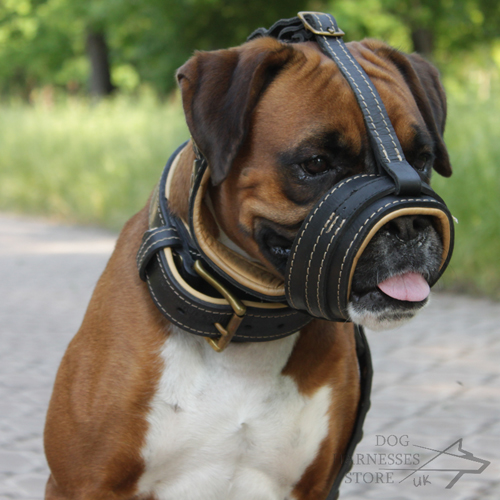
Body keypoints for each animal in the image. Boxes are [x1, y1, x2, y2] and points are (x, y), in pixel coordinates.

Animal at [44, 34, 450, 496]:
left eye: (422, 159)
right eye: (316, 163)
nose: (409, 221)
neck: (243, 331)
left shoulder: (314, 487)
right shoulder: (83, 484)